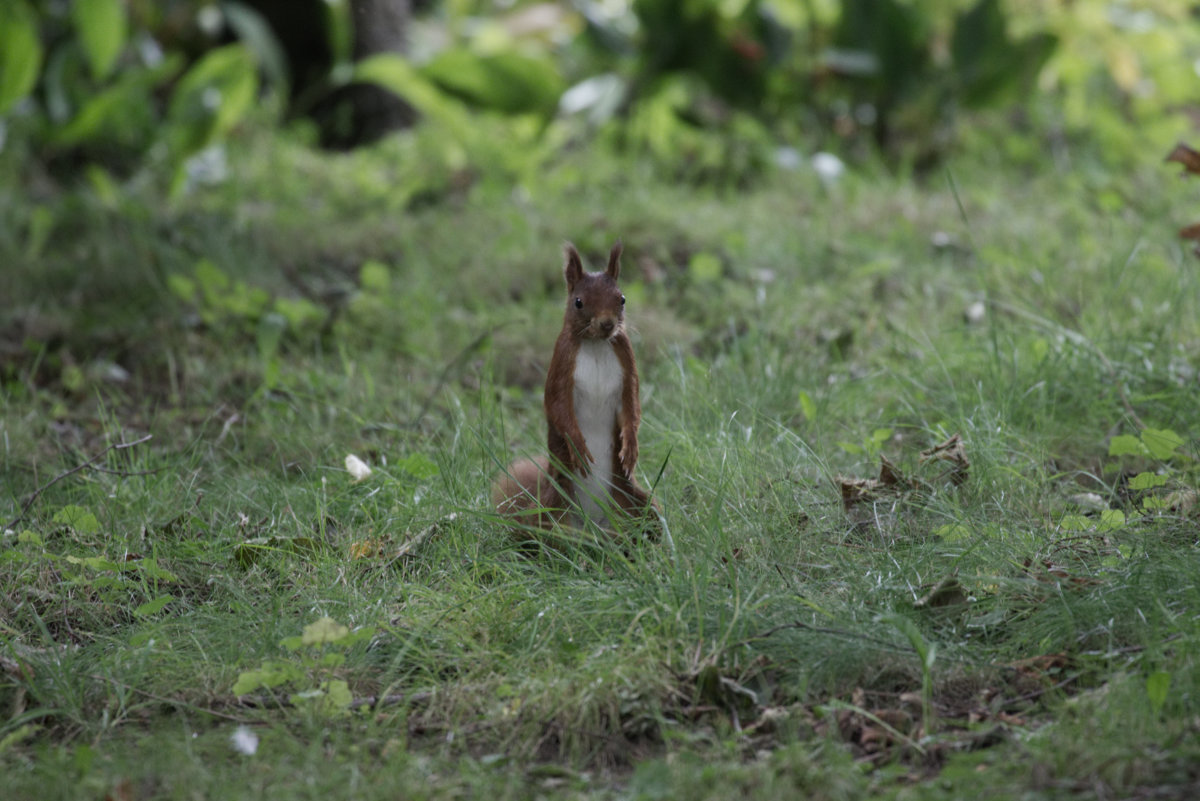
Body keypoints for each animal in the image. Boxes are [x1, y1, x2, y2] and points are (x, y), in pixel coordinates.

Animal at [492, 241, 658, 538]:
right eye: (578, 302)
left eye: (622, 298)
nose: (607, 324)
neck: (595, 344)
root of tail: (594, 526)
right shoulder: (561, 364)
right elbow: (558, 407)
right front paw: (578, 445)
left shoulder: (627, 363)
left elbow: (632, 407)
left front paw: (631, 446)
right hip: (552, 508)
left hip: (637, 502)